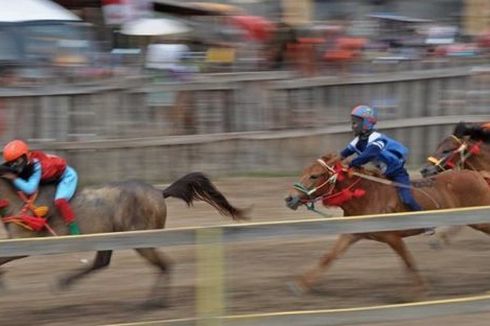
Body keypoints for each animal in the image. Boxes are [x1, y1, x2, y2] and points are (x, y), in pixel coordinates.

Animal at [0, 169, 247, 306]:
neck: (19, 200)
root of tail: (159, 192)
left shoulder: (24, 242)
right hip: (110, 236)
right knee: (102, 262)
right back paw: (64, 281)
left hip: (142, 239)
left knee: (164, 264)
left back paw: (153, 302)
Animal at [286, 153, 490, 296]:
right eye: (303, 173)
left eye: (314, 176)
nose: (290, 198)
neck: (368, 195)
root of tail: (478, 175)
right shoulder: (352, 234)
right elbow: (328, 257)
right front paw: (301, 285)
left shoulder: (392, 236)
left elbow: (408, 260)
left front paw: (419, 290)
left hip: (480, 219)